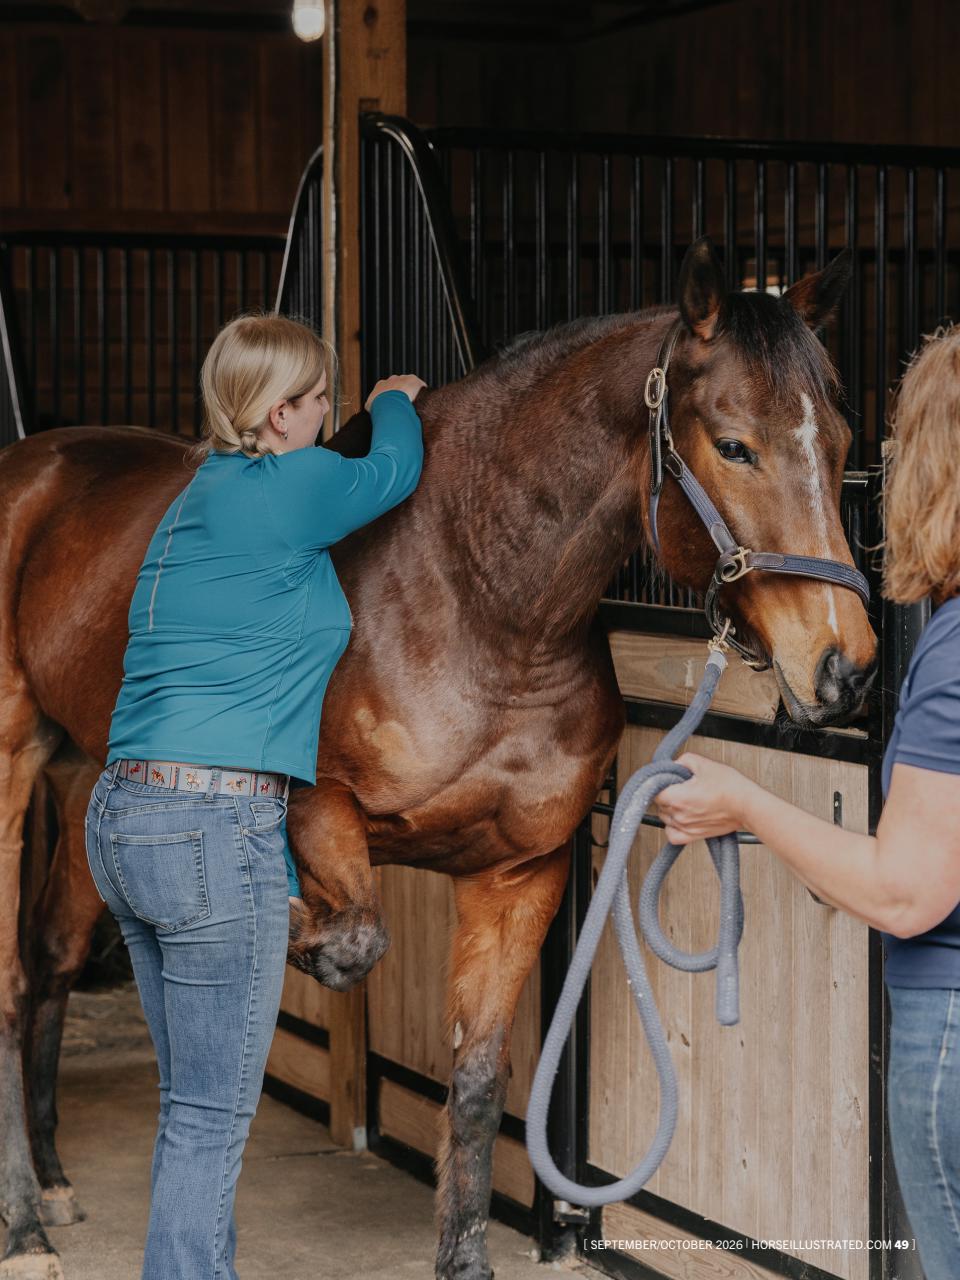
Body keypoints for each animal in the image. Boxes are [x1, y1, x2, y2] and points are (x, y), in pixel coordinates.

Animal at [0, 238, 876, 1279]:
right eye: (734, 446)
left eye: (842, 437)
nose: (844, 667)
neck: (479, 599)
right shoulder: (319, 809)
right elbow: (352, 940)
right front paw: (290, 934)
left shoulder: (520, 874)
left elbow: (478, 1080)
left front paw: (464, 1257)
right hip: (12, 763)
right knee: (10, 983)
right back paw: (22, 1224)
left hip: (79, 771)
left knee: (50, 954)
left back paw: (55, 1183)